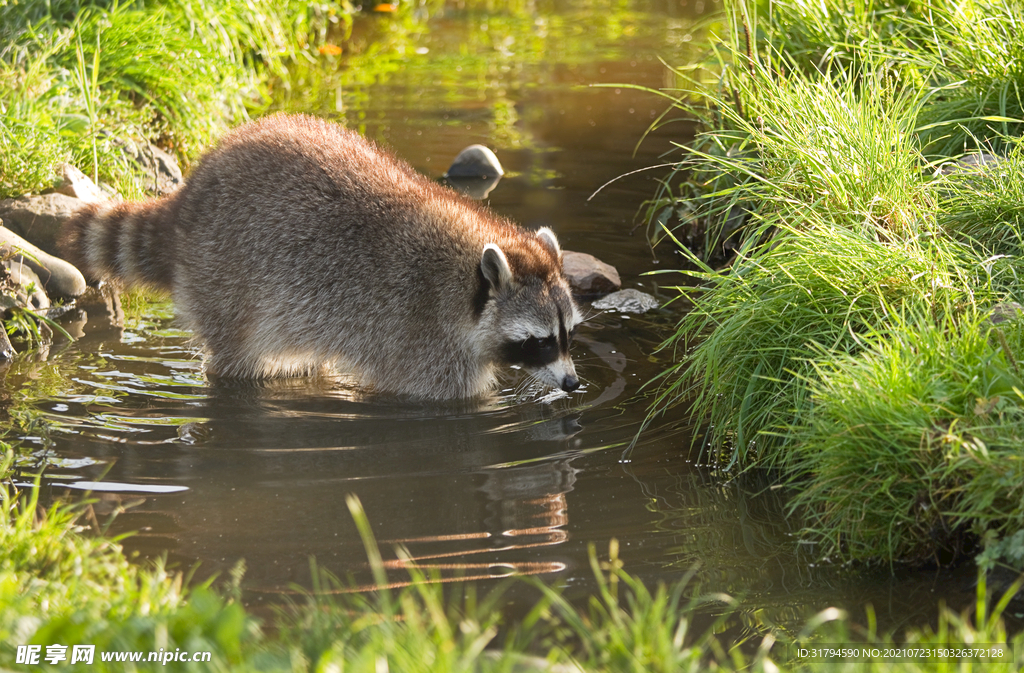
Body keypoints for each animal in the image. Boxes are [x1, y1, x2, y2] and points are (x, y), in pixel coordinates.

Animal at [59, 114, 581, 399]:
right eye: (538, 342)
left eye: (568, 334)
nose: (573, 384)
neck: (463, 283)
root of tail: (189, 196)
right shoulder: (424, 340)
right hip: (225, 278)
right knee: (237, 358)